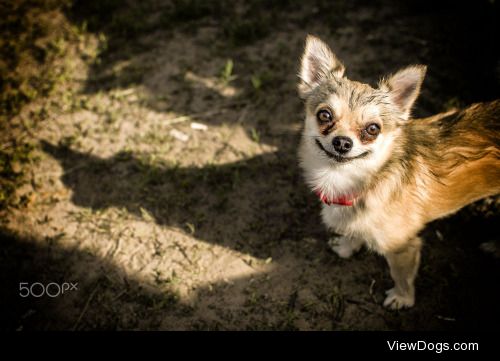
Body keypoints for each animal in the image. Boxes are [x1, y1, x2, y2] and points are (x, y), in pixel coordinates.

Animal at [296, 34, 500, 310]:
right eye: (324, 115)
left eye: (372, 129)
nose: (342, 142)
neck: (351, 181)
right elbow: (353, 231)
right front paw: (347, 246)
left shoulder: (403, 248)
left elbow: (401, 275)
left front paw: (402, 298)